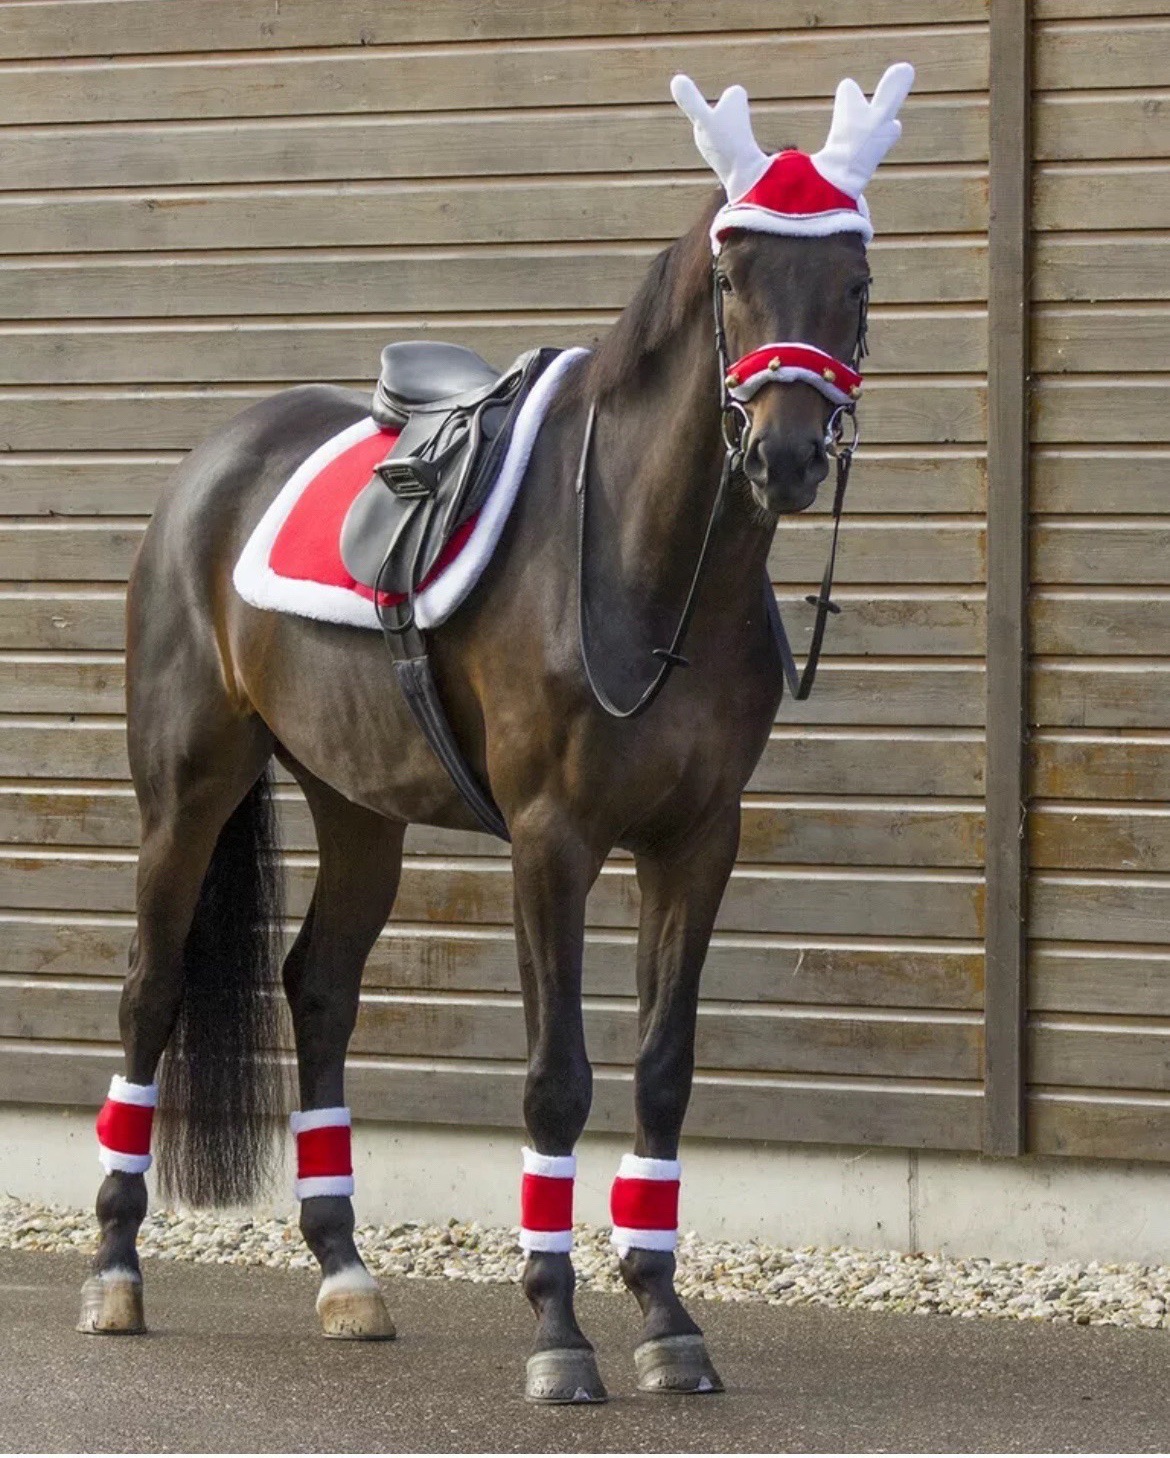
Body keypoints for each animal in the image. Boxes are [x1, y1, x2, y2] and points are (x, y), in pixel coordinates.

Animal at [79, 66, 911, 1403]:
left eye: (857, 283)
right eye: (732, 276)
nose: (784, 456)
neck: (643, 561)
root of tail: (213, 464)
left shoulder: (698, 841)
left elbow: (664, 1070)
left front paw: (668, 1319)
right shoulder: (551, 841)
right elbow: (556, 1079)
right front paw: (560, 1336)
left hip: (357, 805)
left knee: (319, 988)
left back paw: (344, 1273)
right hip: (187, 789)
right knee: (150, 992)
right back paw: (115, 1271)